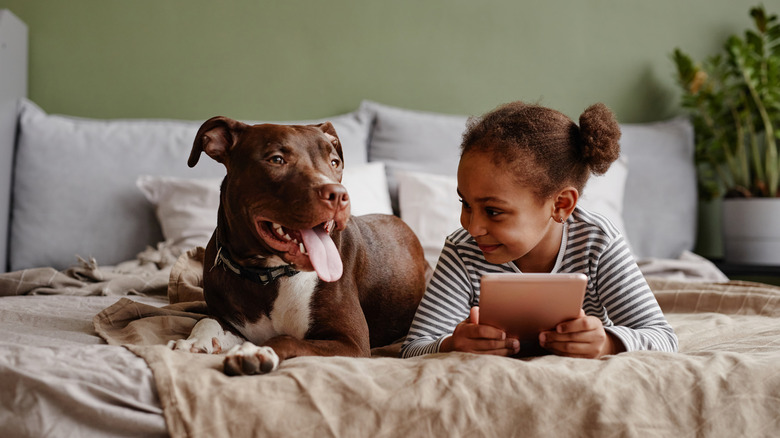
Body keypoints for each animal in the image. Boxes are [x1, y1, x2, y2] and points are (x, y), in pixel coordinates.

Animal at [168, 117, 430, 376]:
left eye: (334, 162)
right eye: (277, 160)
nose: (339, 195)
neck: (266, 275)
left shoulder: (351, 342)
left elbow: (286, 338)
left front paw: (256, 351)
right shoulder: (230, 321)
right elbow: (206, 320)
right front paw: (195, 341)